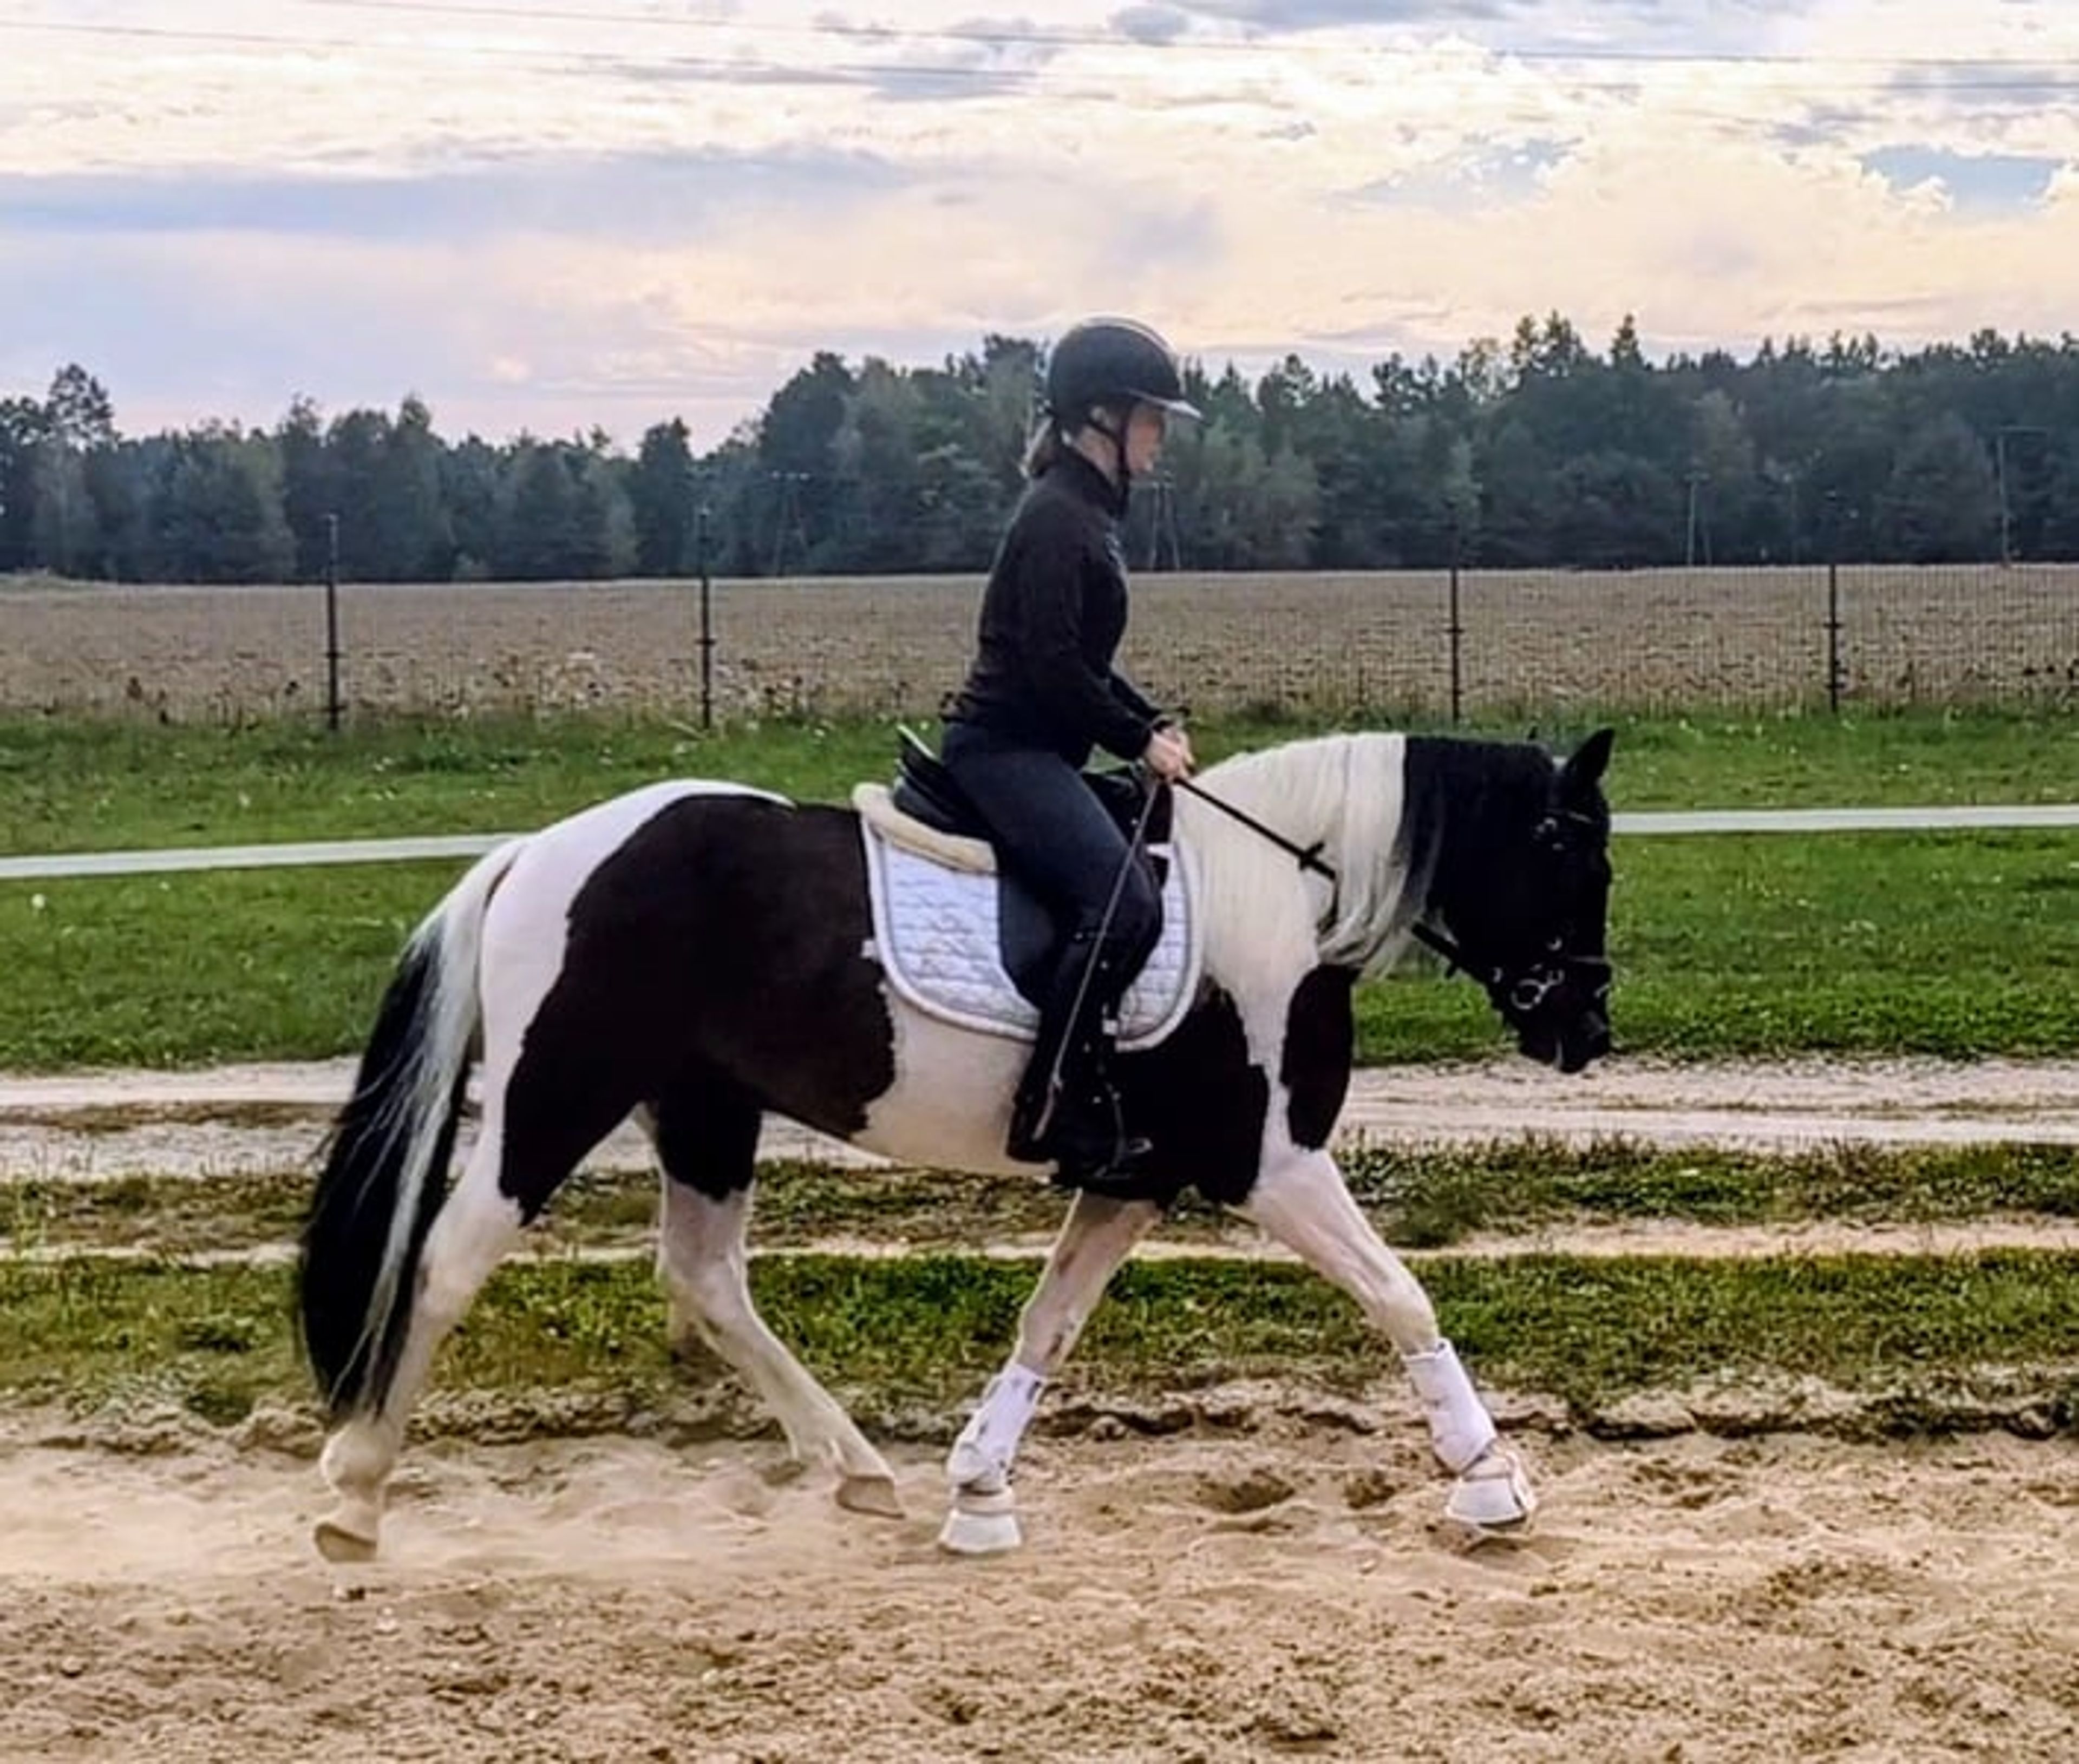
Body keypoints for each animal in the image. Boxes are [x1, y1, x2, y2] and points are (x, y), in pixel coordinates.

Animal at [295, 724, 1615, 1560]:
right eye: (1568, 853)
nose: (1588, 1028)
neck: (1285, 902)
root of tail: (539, 853)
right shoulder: (1269, 1164)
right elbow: (1399, 1294)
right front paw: (1490, 1480)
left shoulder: (1138, 1175)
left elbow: (1050, 1320)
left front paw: (978, 1489)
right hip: (559, 1091)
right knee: (449, 1259)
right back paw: (356, 1493)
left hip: (707, 1108)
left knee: (706, 1278)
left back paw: (856, 1469)